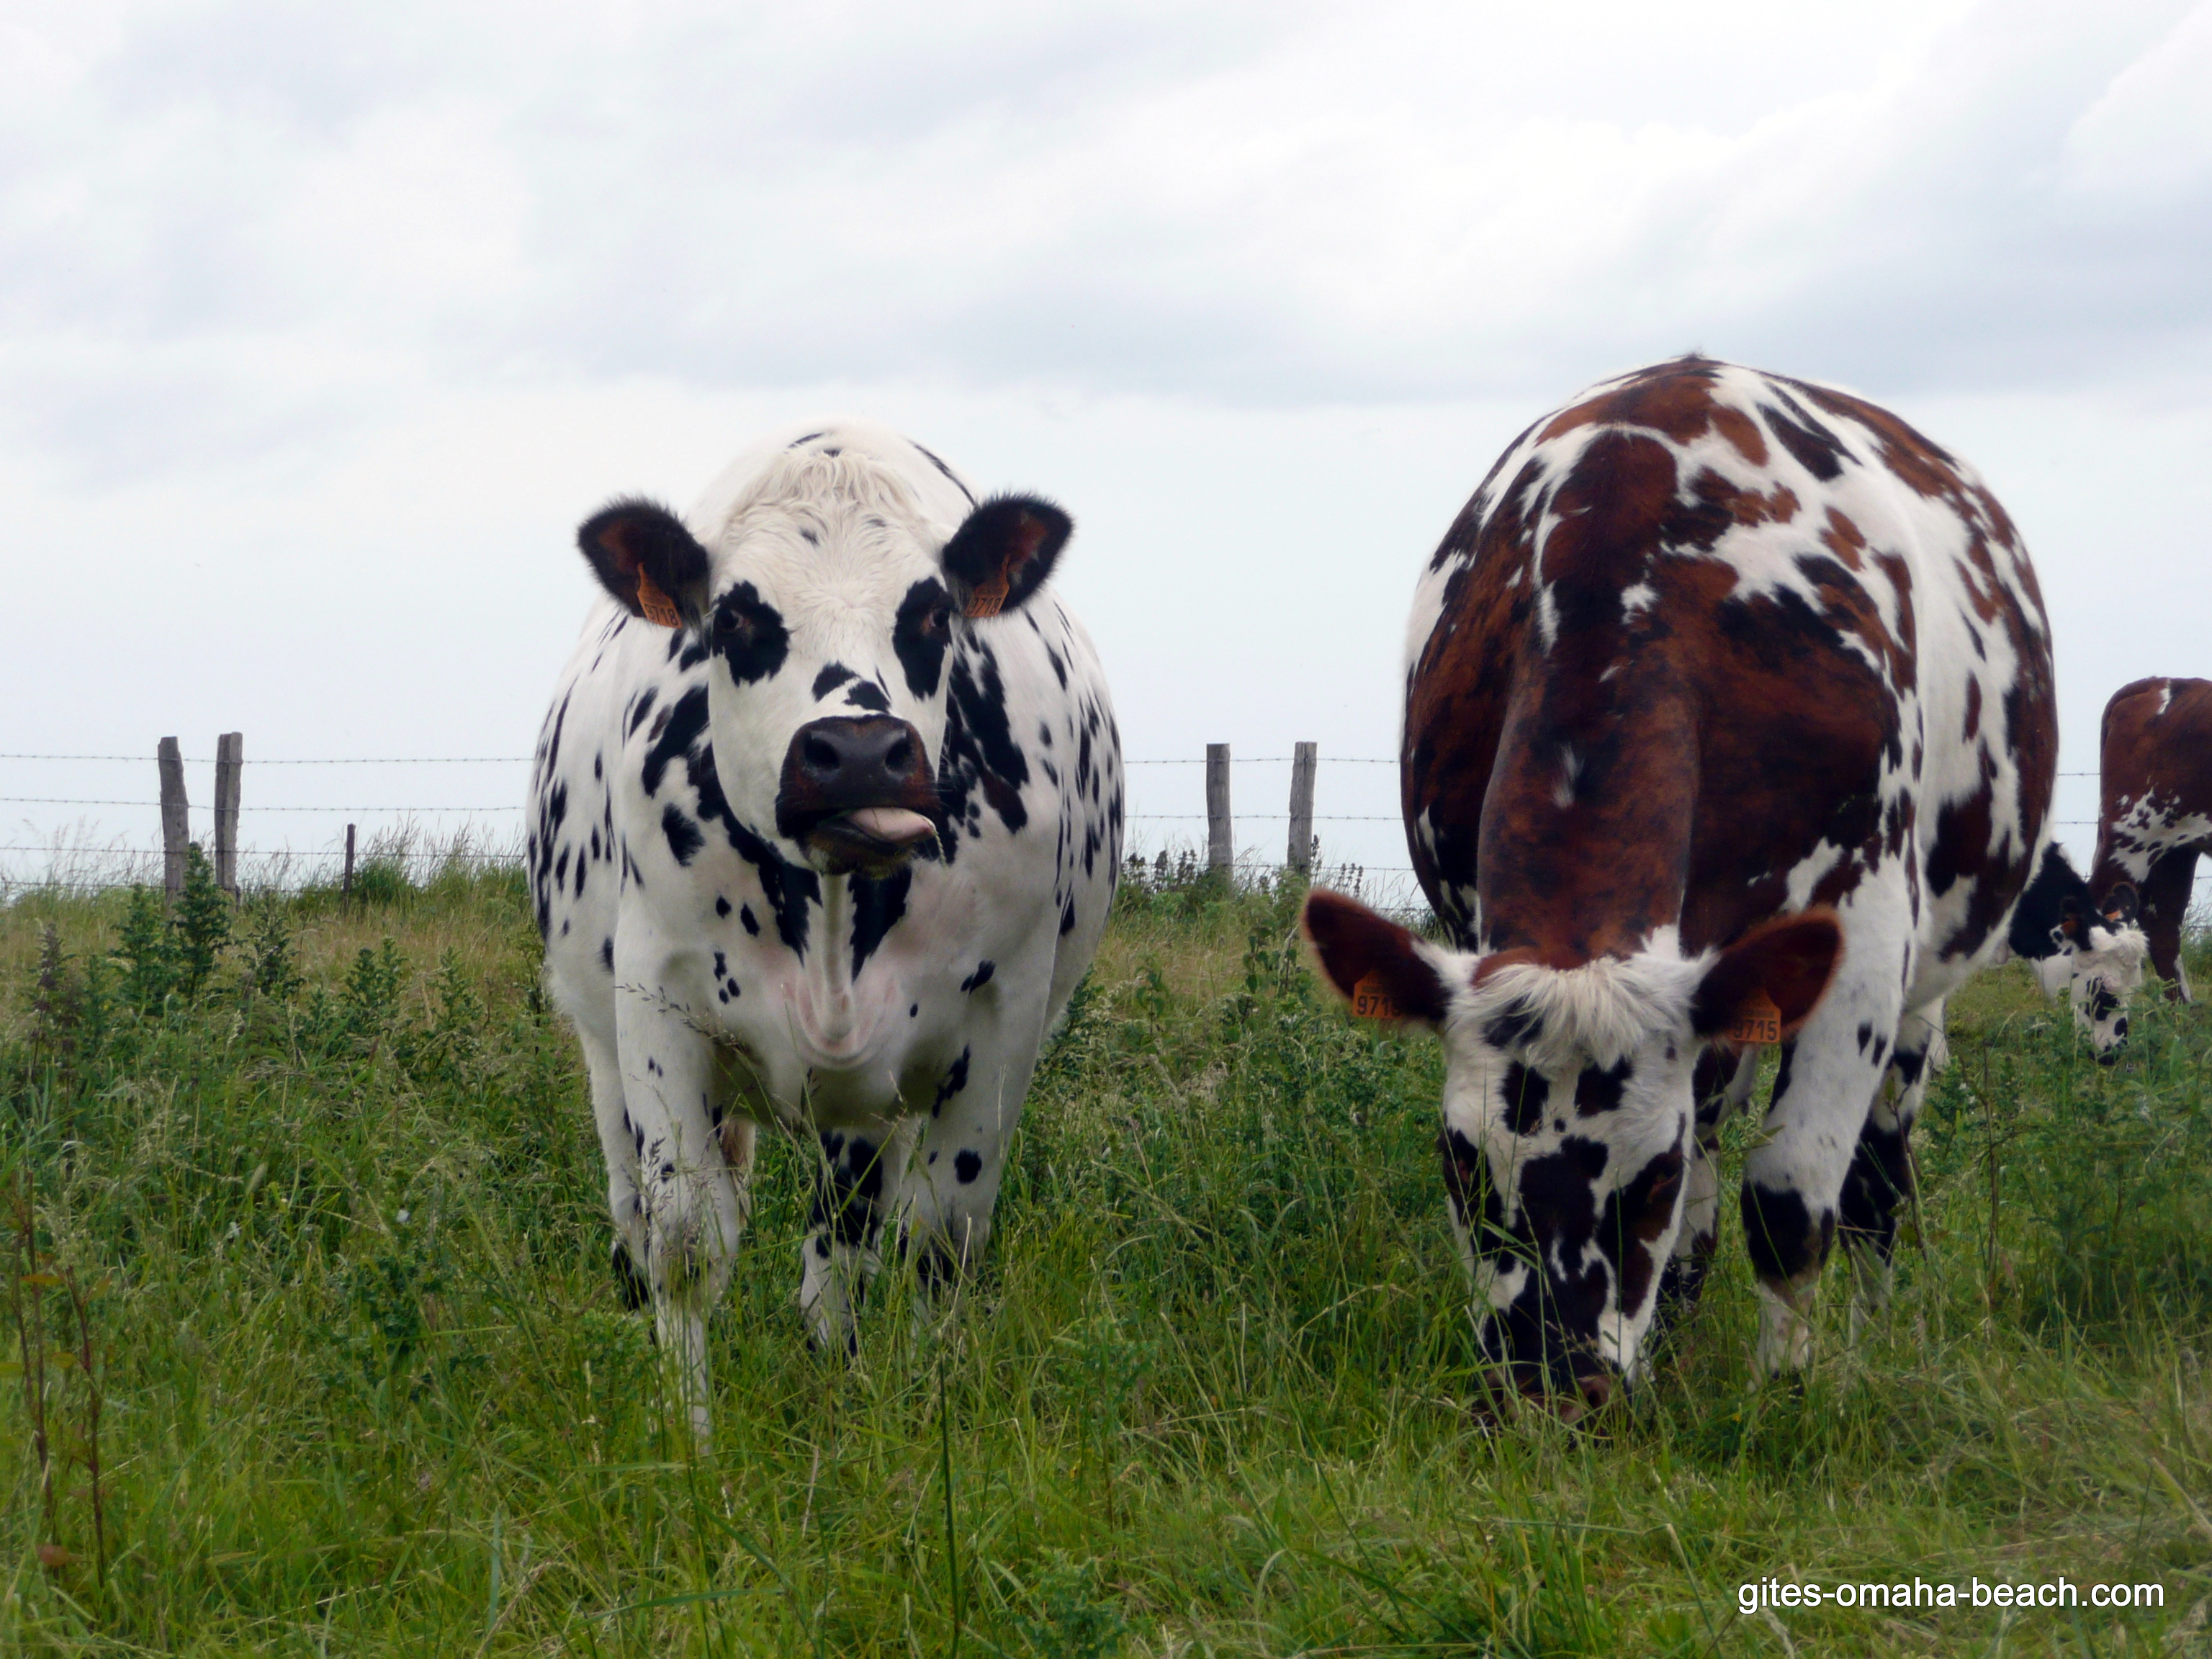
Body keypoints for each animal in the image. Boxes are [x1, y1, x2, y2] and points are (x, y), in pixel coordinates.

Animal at [531, 418, 1123, 1442]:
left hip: (871, 1107)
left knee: (841, 1252)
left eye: (932, 615)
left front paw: (928, 1424)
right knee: (638, 1224)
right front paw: (689, 1442)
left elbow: (940, 1242)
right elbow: (684, 1242)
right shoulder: (656, 1002)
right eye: (735, 618)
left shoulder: (1002, 1019)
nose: (857, 756)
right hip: (603, 1045)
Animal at [1309, 358, 2087, 1424]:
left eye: (1652, 1176)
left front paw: (1784, 1395)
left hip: (1921, 990)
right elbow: (1701, 1212)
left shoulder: (1865, 931)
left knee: (1878, 1183)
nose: (1552, 1393)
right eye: (1461, 1164)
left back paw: (1874, 1330)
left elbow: (1790, 1197)